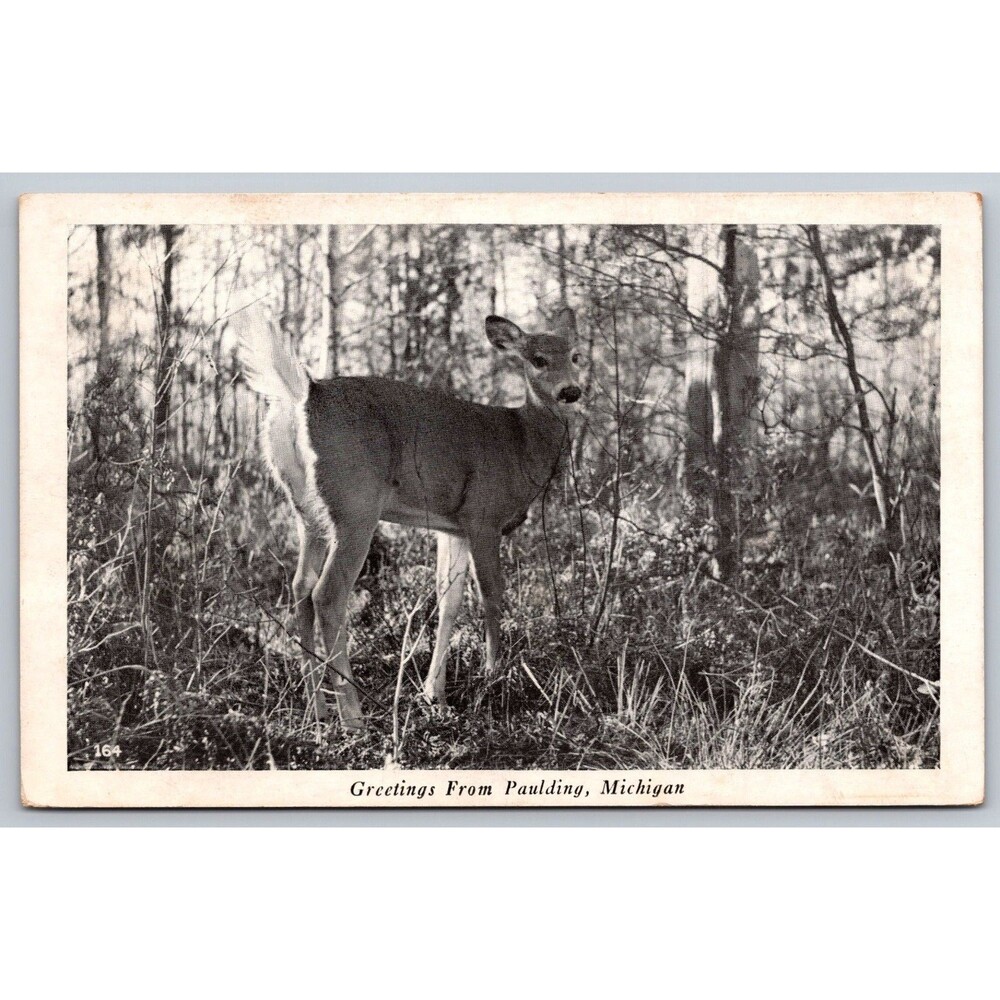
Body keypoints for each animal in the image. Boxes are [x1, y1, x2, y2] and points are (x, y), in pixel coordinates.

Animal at [234, 305, 583, 734]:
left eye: (576, 356)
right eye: (538, 359)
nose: (571, 391)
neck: (521, 443)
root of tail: (306, 394)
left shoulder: (453, 526)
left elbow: (448, 599)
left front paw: (435, 693)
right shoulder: (484, 514)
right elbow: (492, 593)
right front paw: (493, 677)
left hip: (307, 510)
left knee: (300, 586)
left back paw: (317, 707)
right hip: (356, 503)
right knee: (327, 593)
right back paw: (353, 714)